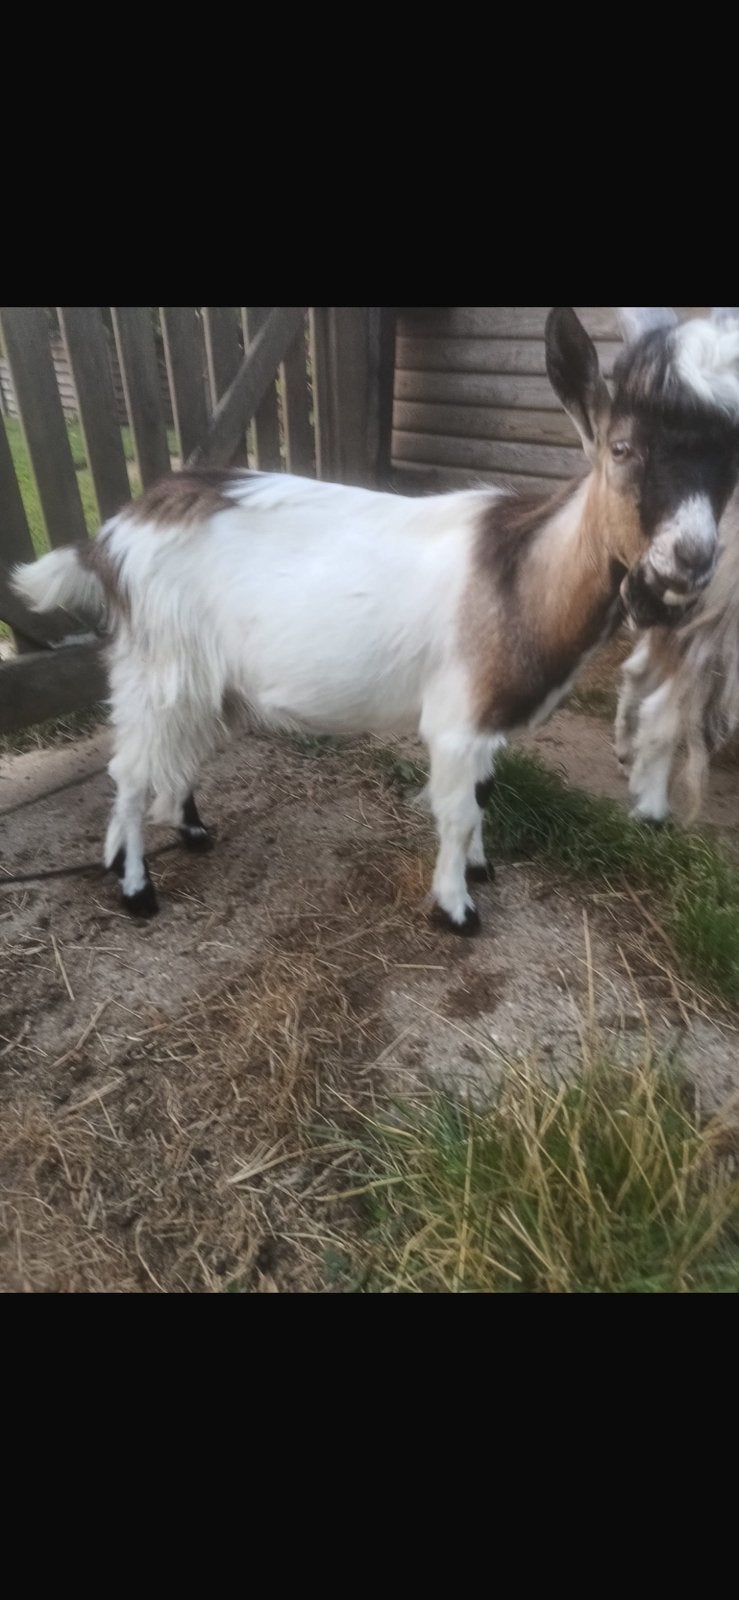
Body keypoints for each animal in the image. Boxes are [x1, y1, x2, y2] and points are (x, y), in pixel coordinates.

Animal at [12, 307, 739, 930]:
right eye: (621, 449)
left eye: (729, 465)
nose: (691, 561)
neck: (518, 574)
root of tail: (113, 537)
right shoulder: (456, 720)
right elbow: (456, 810)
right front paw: (456, 908)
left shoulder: (487, 722)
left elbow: (482, 795)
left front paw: (480, 868)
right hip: (159, 665)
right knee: (132, 772)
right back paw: (136, 888)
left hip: (198, 676)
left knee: (174, 755)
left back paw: (182, 835)